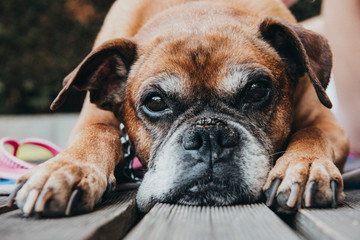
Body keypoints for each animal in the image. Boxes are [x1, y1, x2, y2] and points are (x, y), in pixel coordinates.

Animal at [8, 0, 348, 216]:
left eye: (256, 90)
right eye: (155, 102)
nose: (209, 136)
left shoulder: (329, 125)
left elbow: (312, 132)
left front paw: (304, 167)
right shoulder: (94, 120)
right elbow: (98, 134)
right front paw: (65, 169)